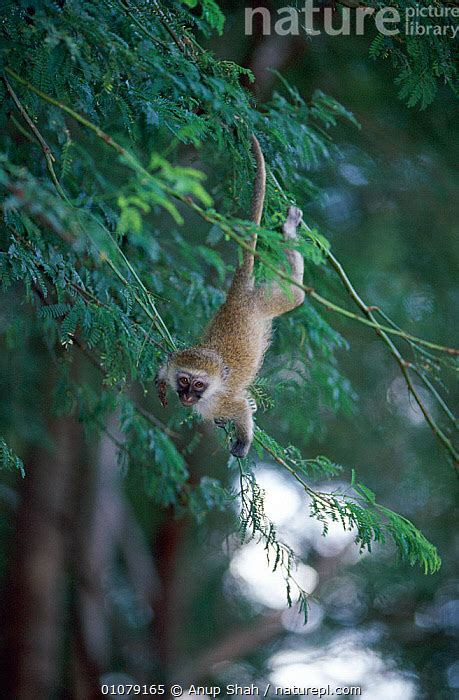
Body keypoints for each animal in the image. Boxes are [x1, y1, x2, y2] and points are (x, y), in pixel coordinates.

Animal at [157, 135, 306, 460]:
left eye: (199, 384)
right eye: (183, 380)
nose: (187, 396)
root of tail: (237, 300)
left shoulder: (220, 400)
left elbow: (240, 408)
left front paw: (244, 439)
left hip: (267, 301)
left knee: (297, 295)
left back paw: (289, 232)